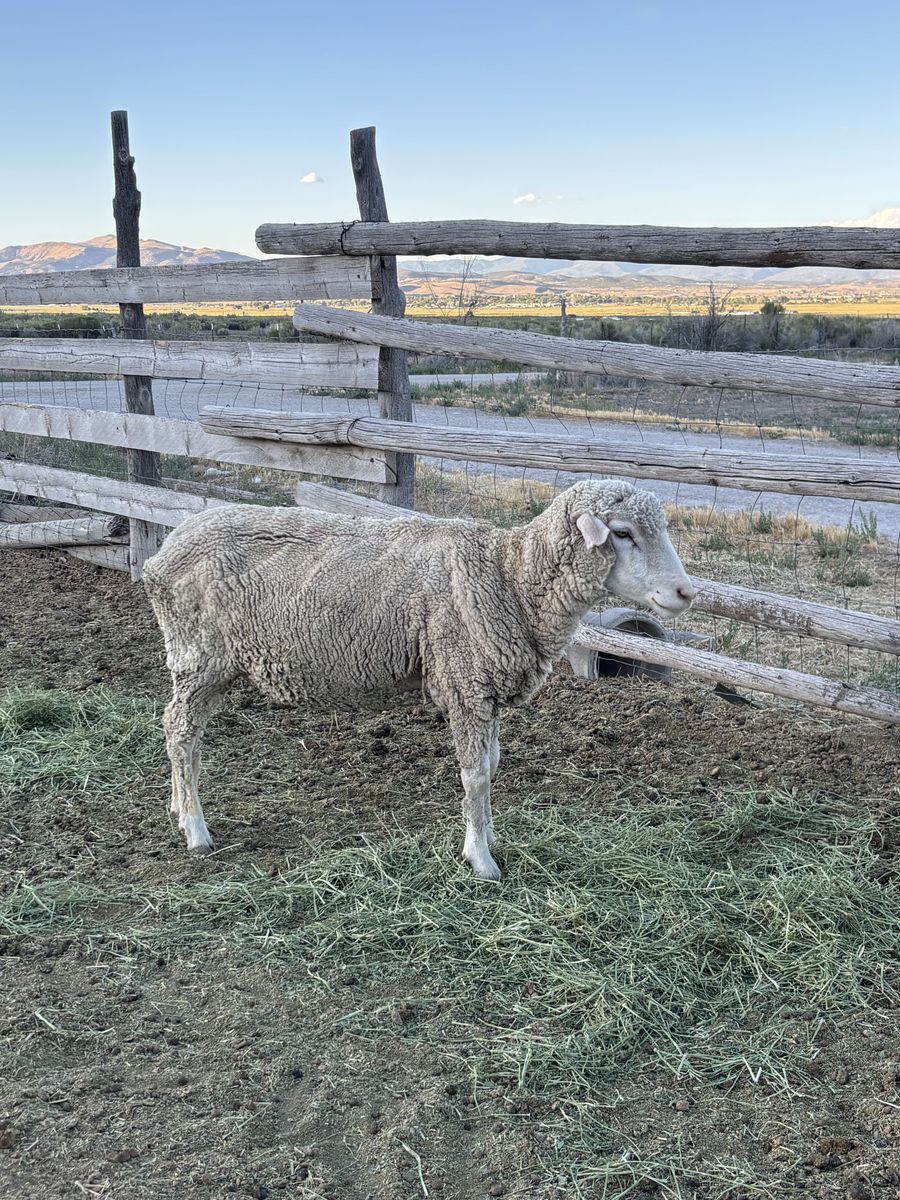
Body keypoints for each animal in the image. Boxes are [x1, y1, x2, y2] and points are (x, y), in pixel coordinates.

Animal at [142, 479, 695, 879]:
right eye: (622, 533)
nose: (686, 592)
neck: (510, 578)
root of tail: (158, 556)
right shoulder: (465, 683)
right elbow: (475, 776)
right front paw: (481, 861)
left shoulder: (486, 690)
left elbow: (493, 766)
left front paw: (490, 836)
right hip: (200, 655)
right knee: (178, 729)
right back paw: (195, 829)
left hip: (201, 662)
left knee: (182, 733)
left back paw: (177, 804)